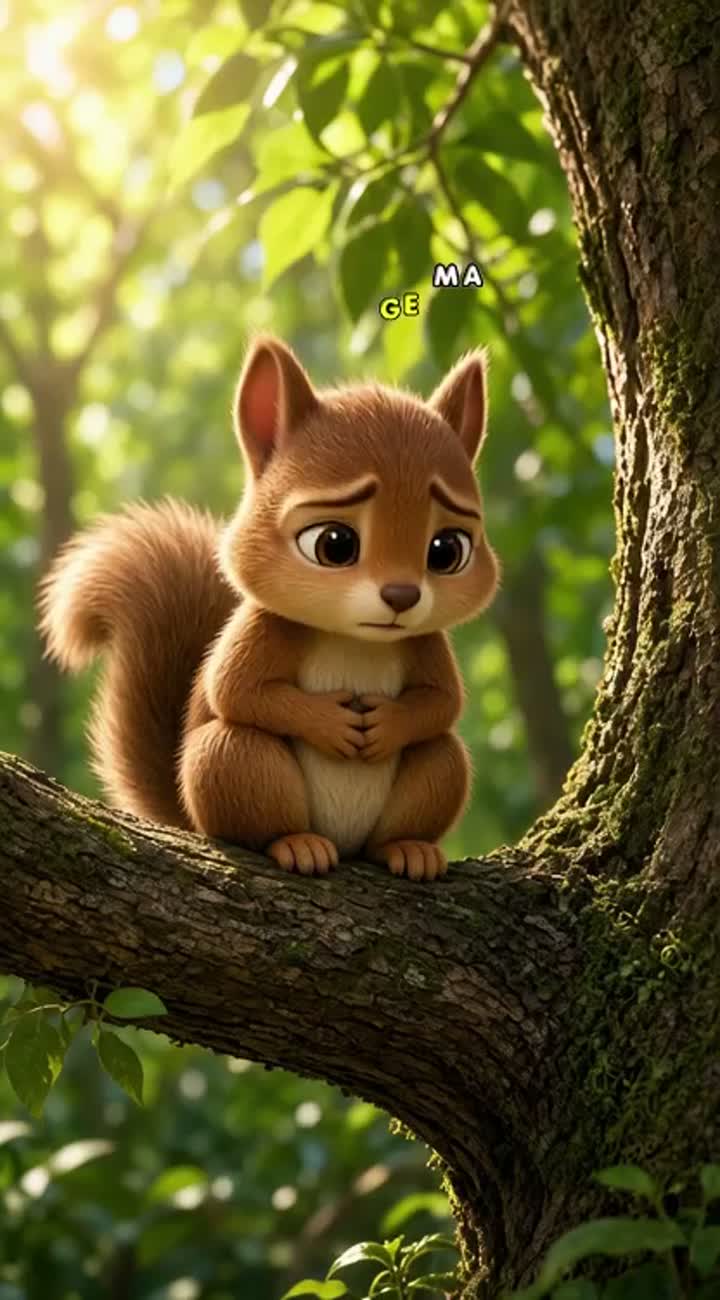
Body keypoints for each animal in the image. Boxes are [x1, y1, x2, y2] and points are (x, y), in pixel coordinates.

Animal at [39, 335, 499, 881]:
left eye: (447, 550)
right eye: (334, 544)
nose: (402, 597)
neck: (357, 638)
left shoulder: (425, 645)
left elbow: (441, 702)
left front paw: (386, 725)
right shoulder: (264, 629)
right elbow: (238, 691)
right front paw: (330, 723)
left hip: (437, 774)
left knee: (436, 758)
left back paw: (409, 849)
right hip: (232, 764)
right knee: (248, 783)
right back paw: (296, 844)